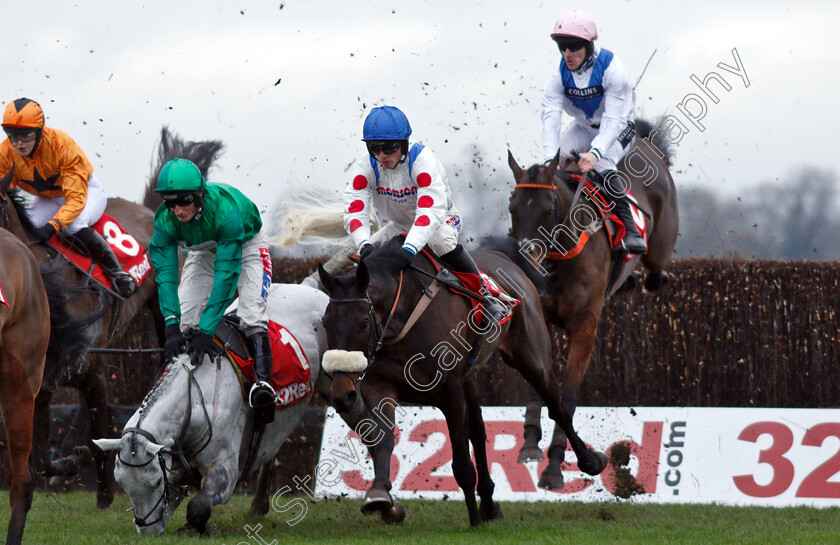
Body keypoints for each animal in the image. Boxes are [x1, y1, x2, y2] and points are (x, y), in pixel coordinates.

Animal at [318, 236, 608, 524]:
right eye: (325, 322)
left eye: (363, 323)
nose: (341, 394)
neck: (403, 320)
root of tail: (502, 256)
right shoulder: (379, 385)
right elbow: (383, 438)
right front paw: (379, 493)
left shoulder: (451, 389)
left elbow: (461, 461)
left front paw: (474, 519)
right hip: (472, 377)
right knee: (479, 431)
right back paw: (489, 503)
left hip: (531, 358)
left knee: (557, 408)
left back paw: (589, 462)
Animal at [506, 117, 676, 486]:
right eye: (512, 208)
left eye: (547, 210)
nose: (526, 259)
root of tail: (646, 143)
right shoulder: (540, 319)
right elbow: (540, 386)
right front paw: (529, 443)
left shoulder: (585, 325)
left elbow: (567, 397)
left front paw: (556, 465)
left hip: (659, 246)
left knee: (655, 273)